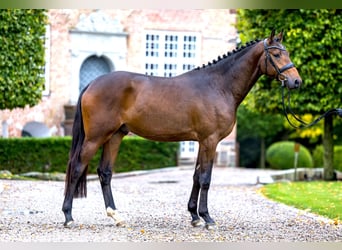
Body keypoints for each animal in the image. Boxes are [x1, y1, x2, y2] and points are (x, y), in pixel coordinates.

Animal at [62, 29, 302, 229]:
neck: (218, 86)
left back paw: (116, 215)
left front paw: (194, 216)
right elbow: (205, 178)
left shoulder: (202, 141)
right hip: (95, 137)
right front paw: (207, 218)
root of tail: (92, 84)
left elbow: (196, 176)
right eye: (277, 54)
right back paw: (68, 216)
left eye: (287, 52)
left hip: (114, 136)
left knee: (105, 172)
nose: (296, 82)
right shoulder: (210, 141)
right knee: (76, 167)